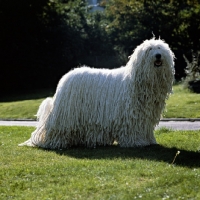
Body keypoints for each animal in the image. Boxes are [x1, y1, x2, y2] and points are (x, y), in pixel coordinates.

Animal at [18, 38, 175, 149]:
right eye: (149, 49)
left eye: (160, 48)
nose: (158, 56)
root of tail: (67, 77)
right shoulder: (130, 116)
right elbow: (132, 130)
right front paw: (136, 142)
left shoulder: (145, 117)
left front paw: (148, 141)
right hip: (66, 116)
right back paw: (54, 143)